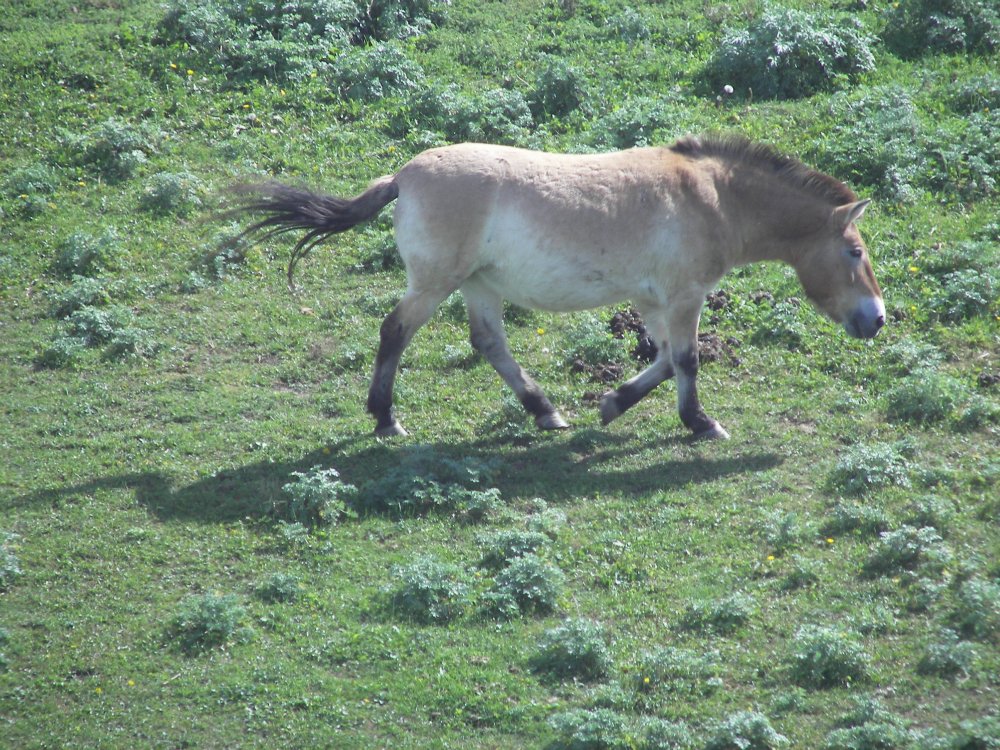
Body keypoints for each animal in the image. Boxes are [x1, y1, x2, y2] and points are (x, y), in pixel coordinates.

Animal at [232, 135, 884, 440]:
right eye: (854, 252)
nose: (876, 319)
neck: (711, 199)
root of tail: (404, 175)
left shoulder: (652, 300)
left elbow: (664, 361)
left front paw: (613, 403)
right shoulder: (683, 296)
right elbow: (688, 360)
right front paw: (700, 424)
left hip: (477, 285)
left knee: (489, 344)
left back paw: (545, 411)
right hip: (436, 283)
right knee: (394, 332)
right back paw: (386, 419)